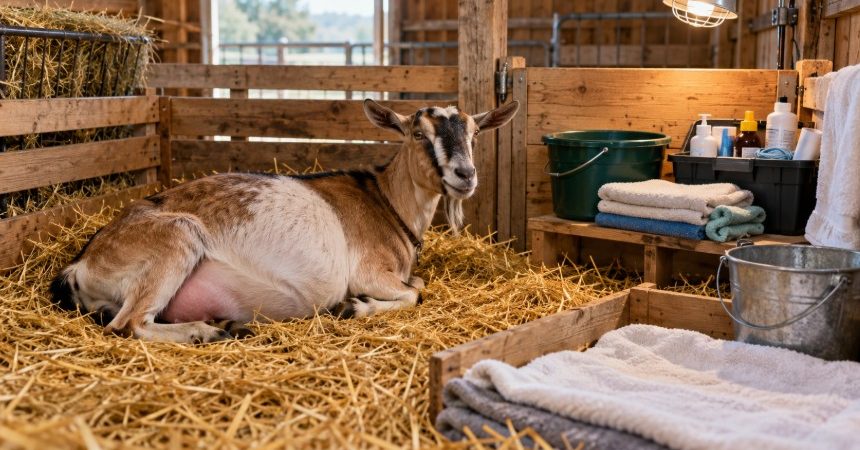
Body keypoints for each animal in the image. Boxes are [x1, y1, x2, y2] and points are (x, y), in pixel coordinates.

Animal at [50, 99, 520, 343]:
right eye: (418, 134)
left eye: (474, 135)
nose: (465, 175)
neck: (386, 202)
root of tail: (81, 264)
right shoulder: (368, 272)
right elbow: (415, 293)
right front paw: (354, 307)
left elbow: (419, 283)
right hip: (177, 240)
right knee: (127, 325)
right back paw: (208, 332)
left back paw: (225, 324)